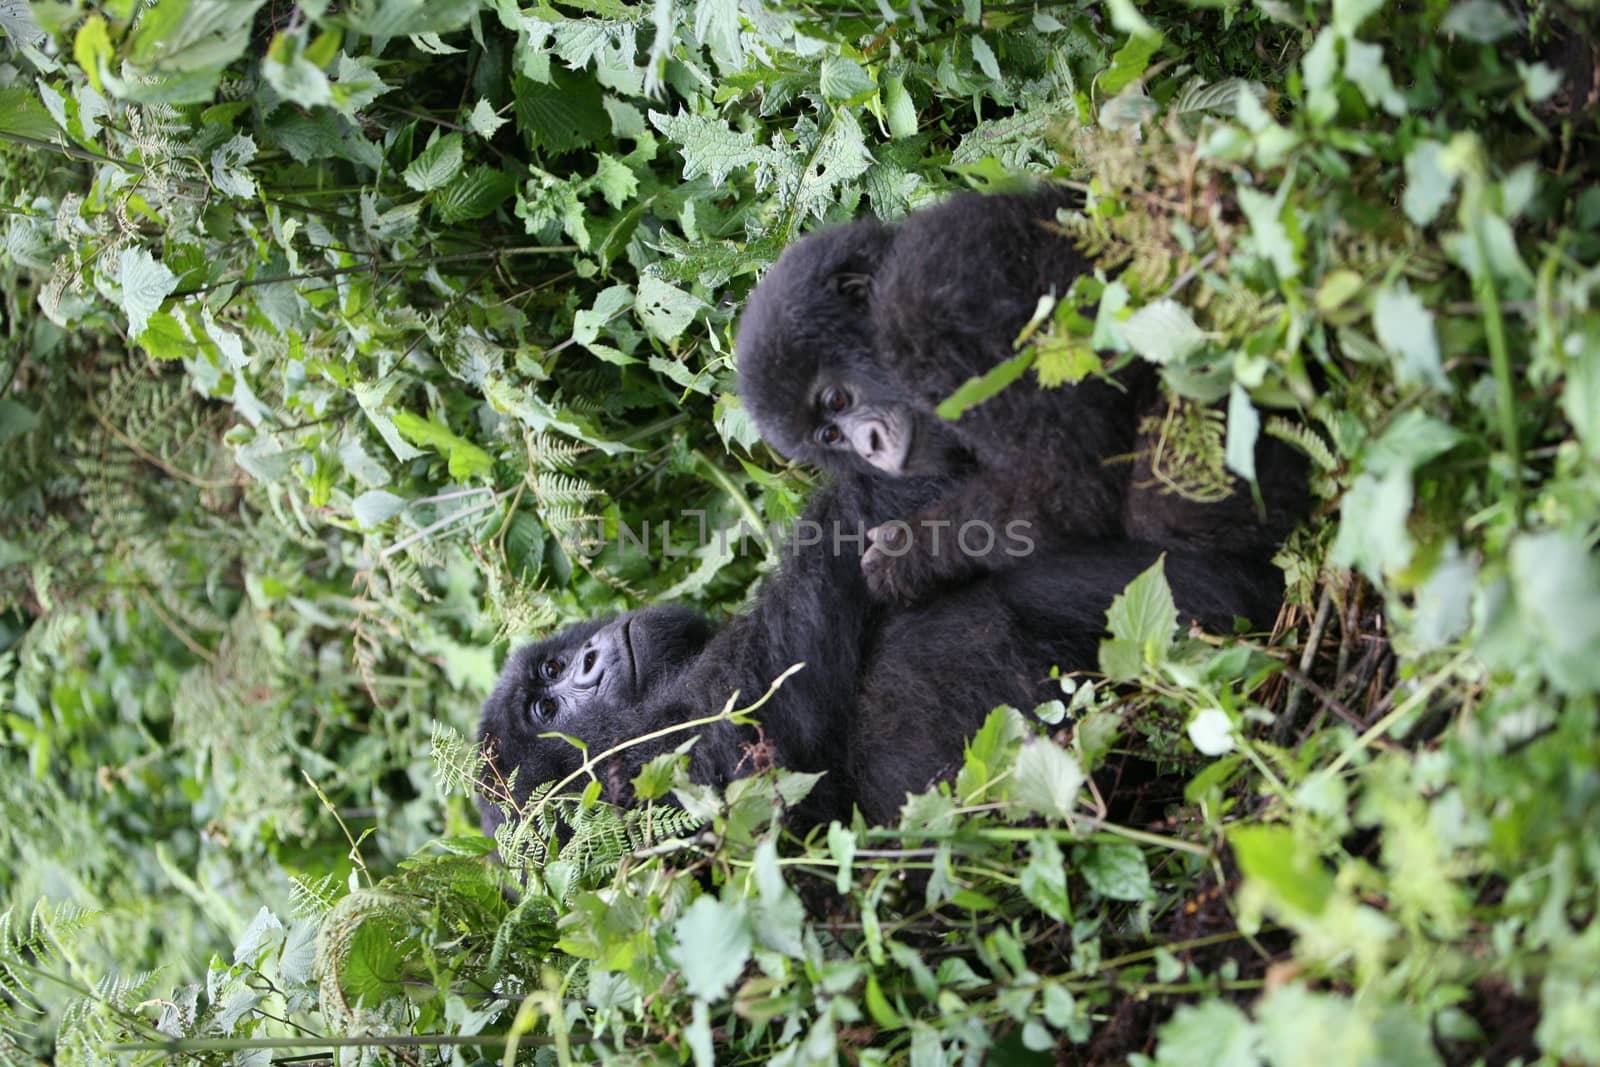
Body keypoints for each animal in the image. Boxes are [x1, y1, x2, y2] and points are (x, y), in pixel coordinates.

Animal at [742, 191, 1305, 604]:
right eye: (830, 436)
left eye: (836, 400)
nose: (870, 447)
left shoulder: (922, 312)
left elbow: (1069, 478)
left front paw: (909, 555)